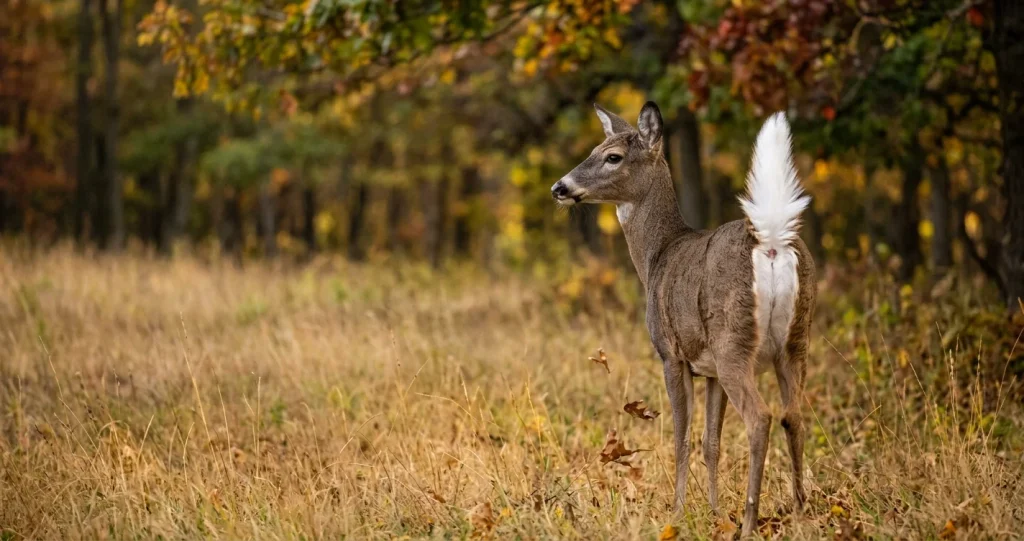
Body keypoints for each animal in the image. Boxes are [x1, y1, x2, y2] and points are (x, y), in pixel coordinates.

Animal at [551, 102, 815, 538]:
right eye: (593, 149)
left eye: (613, 156)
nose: (560, 187)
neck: (656, 256)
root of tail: (771, 243)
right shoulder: (708, 370)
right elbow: (711, 443)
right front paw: (713, 512)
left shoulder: (672, 355)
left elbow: (682, 438)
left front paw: (676, 514)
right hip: (795, 341)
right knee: (794, 416)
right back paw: (800, 512)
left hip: (733, 342)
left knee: (760, 418)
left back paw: (749, 522)